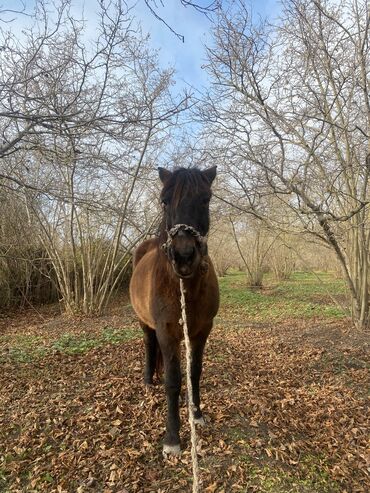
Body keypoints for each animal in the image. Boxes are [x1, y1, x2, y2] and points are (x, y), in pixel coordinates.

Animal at [130, 165, 220, 454]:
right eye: (164, 201)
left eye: (206, 199)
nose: (183, 256)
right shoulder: (166, 332)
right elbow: (171, 380)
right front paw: (172, 438)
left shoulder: (201, 331)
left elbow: (194, 372)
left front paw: (196, 414)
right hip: (145, 324)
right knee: (148, 344)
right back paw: (148, 380)